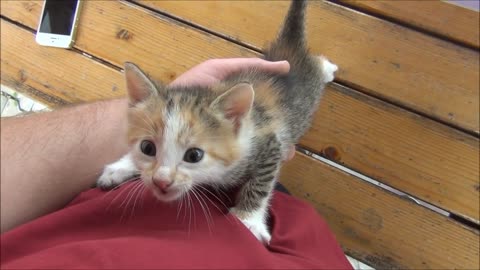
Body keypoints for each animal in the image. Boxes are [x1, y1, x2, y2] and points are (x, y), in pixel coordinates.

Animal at [97, 0, 338, 244]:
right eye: (147, 148)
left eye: (194, 156)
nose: (161, 181)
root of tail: (288, 53)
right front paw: (121, 166)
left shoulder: (271, 143)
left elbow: (261, 182)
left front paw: (248, 220)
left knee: (317, 65)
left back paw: (327, 68)